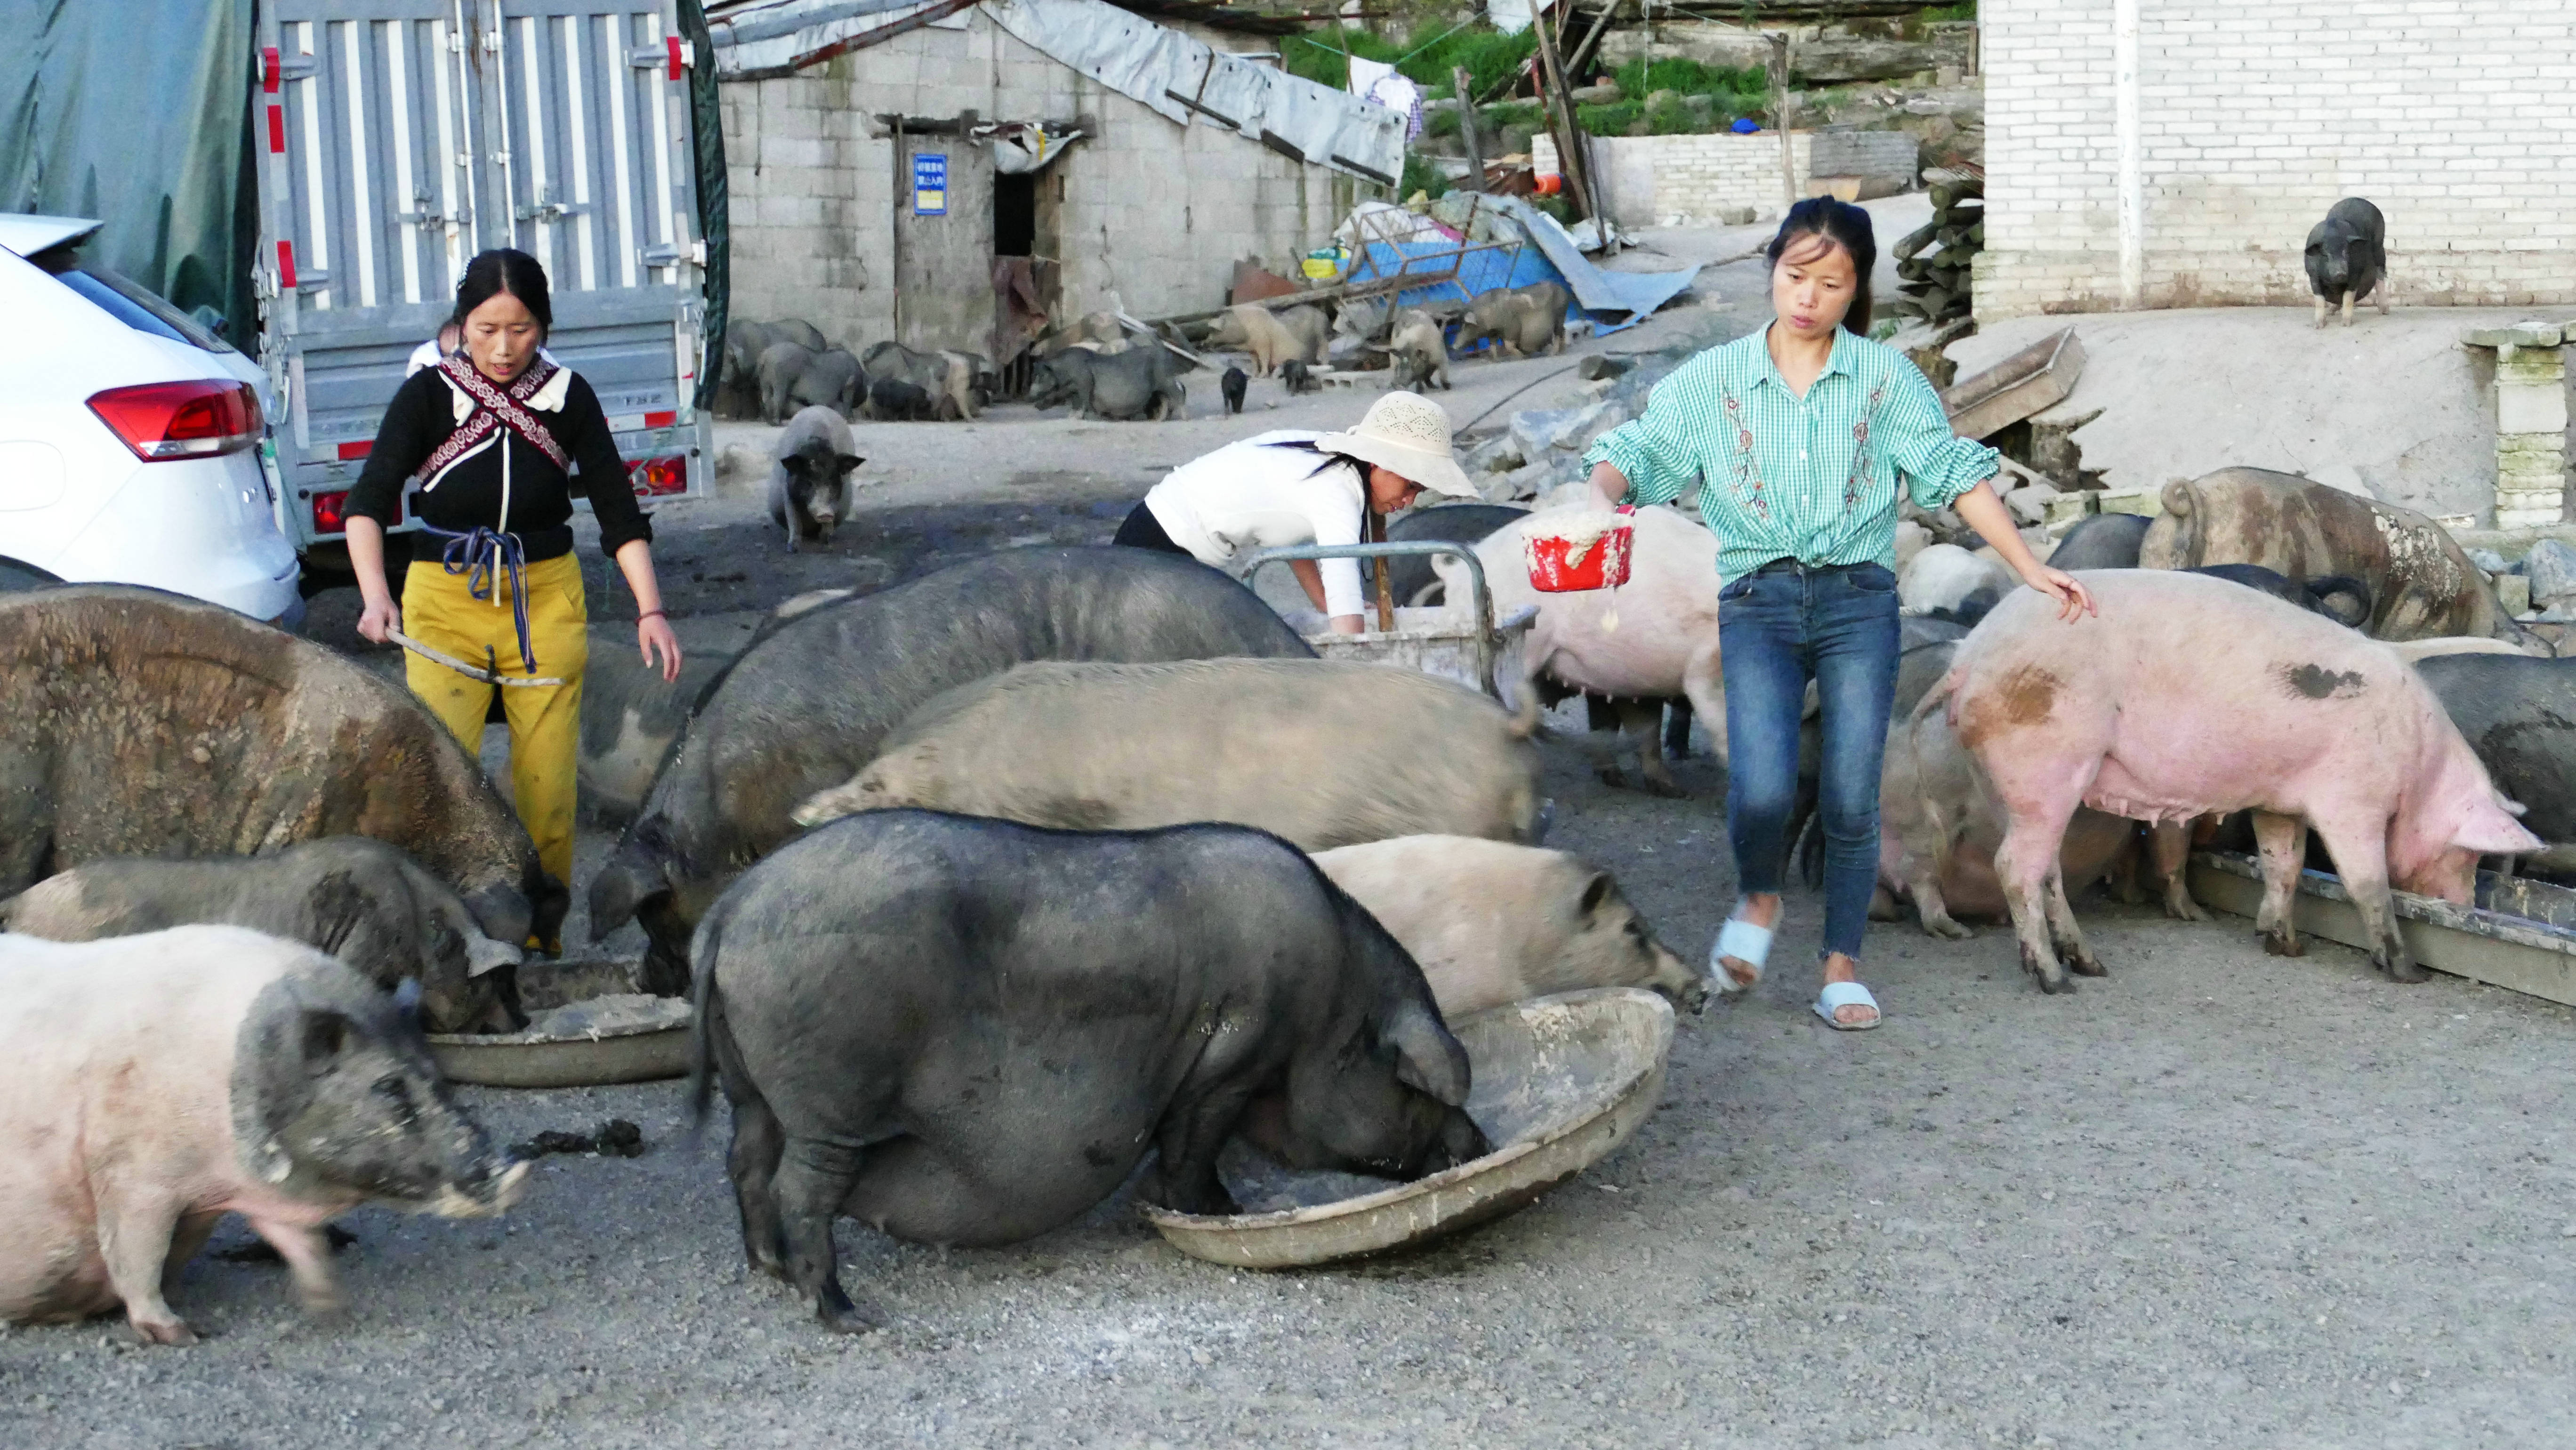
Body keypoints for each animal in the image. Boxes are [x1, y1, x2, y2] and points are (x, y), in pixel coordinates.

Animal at [1927, 574, 2524, 994]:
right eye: (2469, 854)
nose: (2467, 907)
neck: (2421, 760)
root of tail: (1968, 656)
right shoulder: (2352, 799)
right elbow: (2367, 883)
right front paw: (2408, 971)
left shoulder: (2281, 802)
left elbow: (2283, 865)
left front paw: (2284, 945)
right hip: (2042, 760)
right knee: (2014, 867)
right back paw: (2056, 980)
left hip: (2005, 781)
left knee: (2044, 868)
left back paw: (2091, 964)